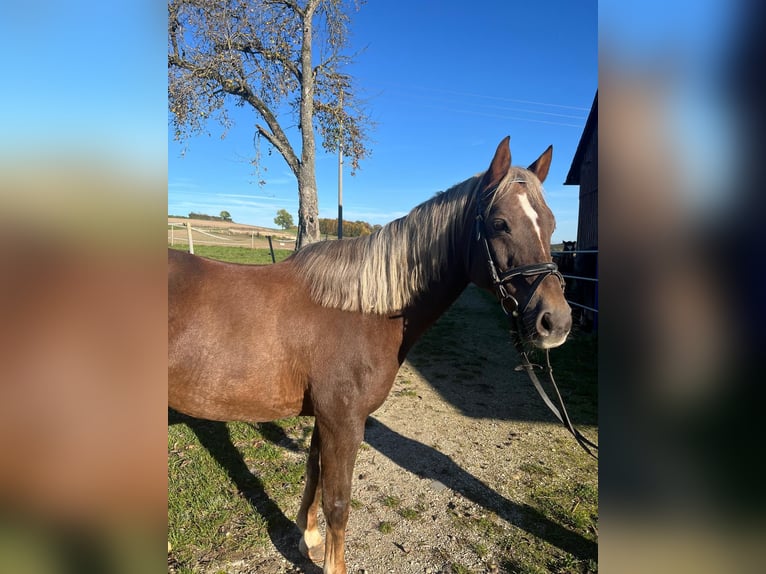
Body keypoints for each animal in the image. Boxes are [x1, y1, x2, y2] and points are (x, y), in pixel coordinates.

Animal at [170, 137, 576, 572]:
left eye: (551, 224)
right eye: (500, 224)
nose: (556, 322)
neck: (360, 309)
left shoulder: (327, 419)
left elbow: (314, 477)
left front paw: (308, 539)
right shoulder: (343, 422)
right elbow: (338, 502)